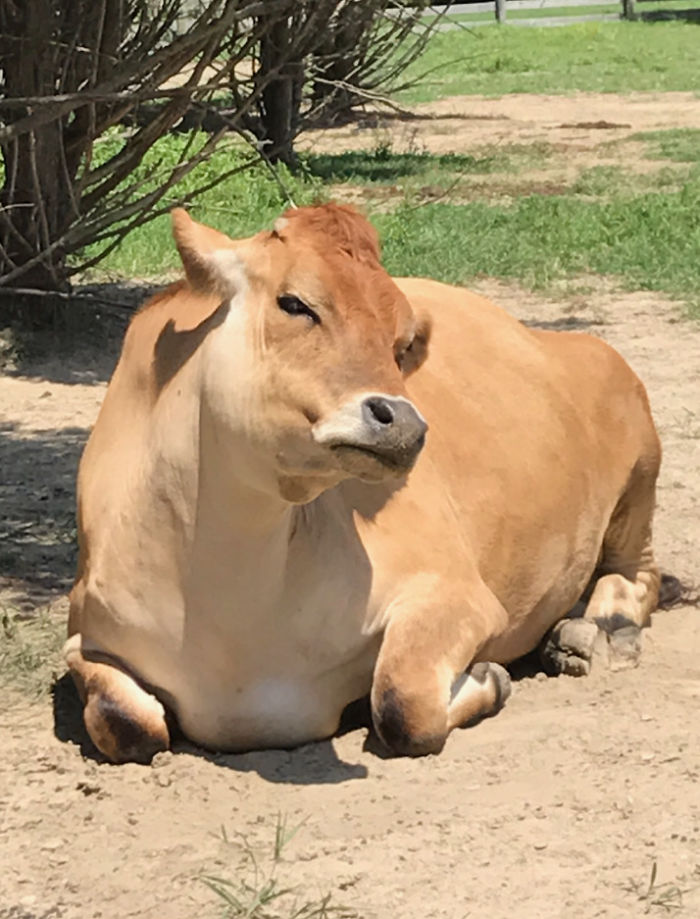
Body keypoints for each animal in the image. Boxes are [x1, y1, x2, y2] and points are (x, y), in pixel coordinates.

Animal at [64, 203, 664, 764]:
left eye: (402, 342)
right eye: (294, 303)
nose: (404, 423)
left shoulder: (459, 596)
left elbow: (403, 701)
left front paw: (490, 678)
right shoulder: (85, 636)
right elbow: (125, 724)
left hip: (640, 468)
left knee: (640, 574)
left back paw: (594, 631)